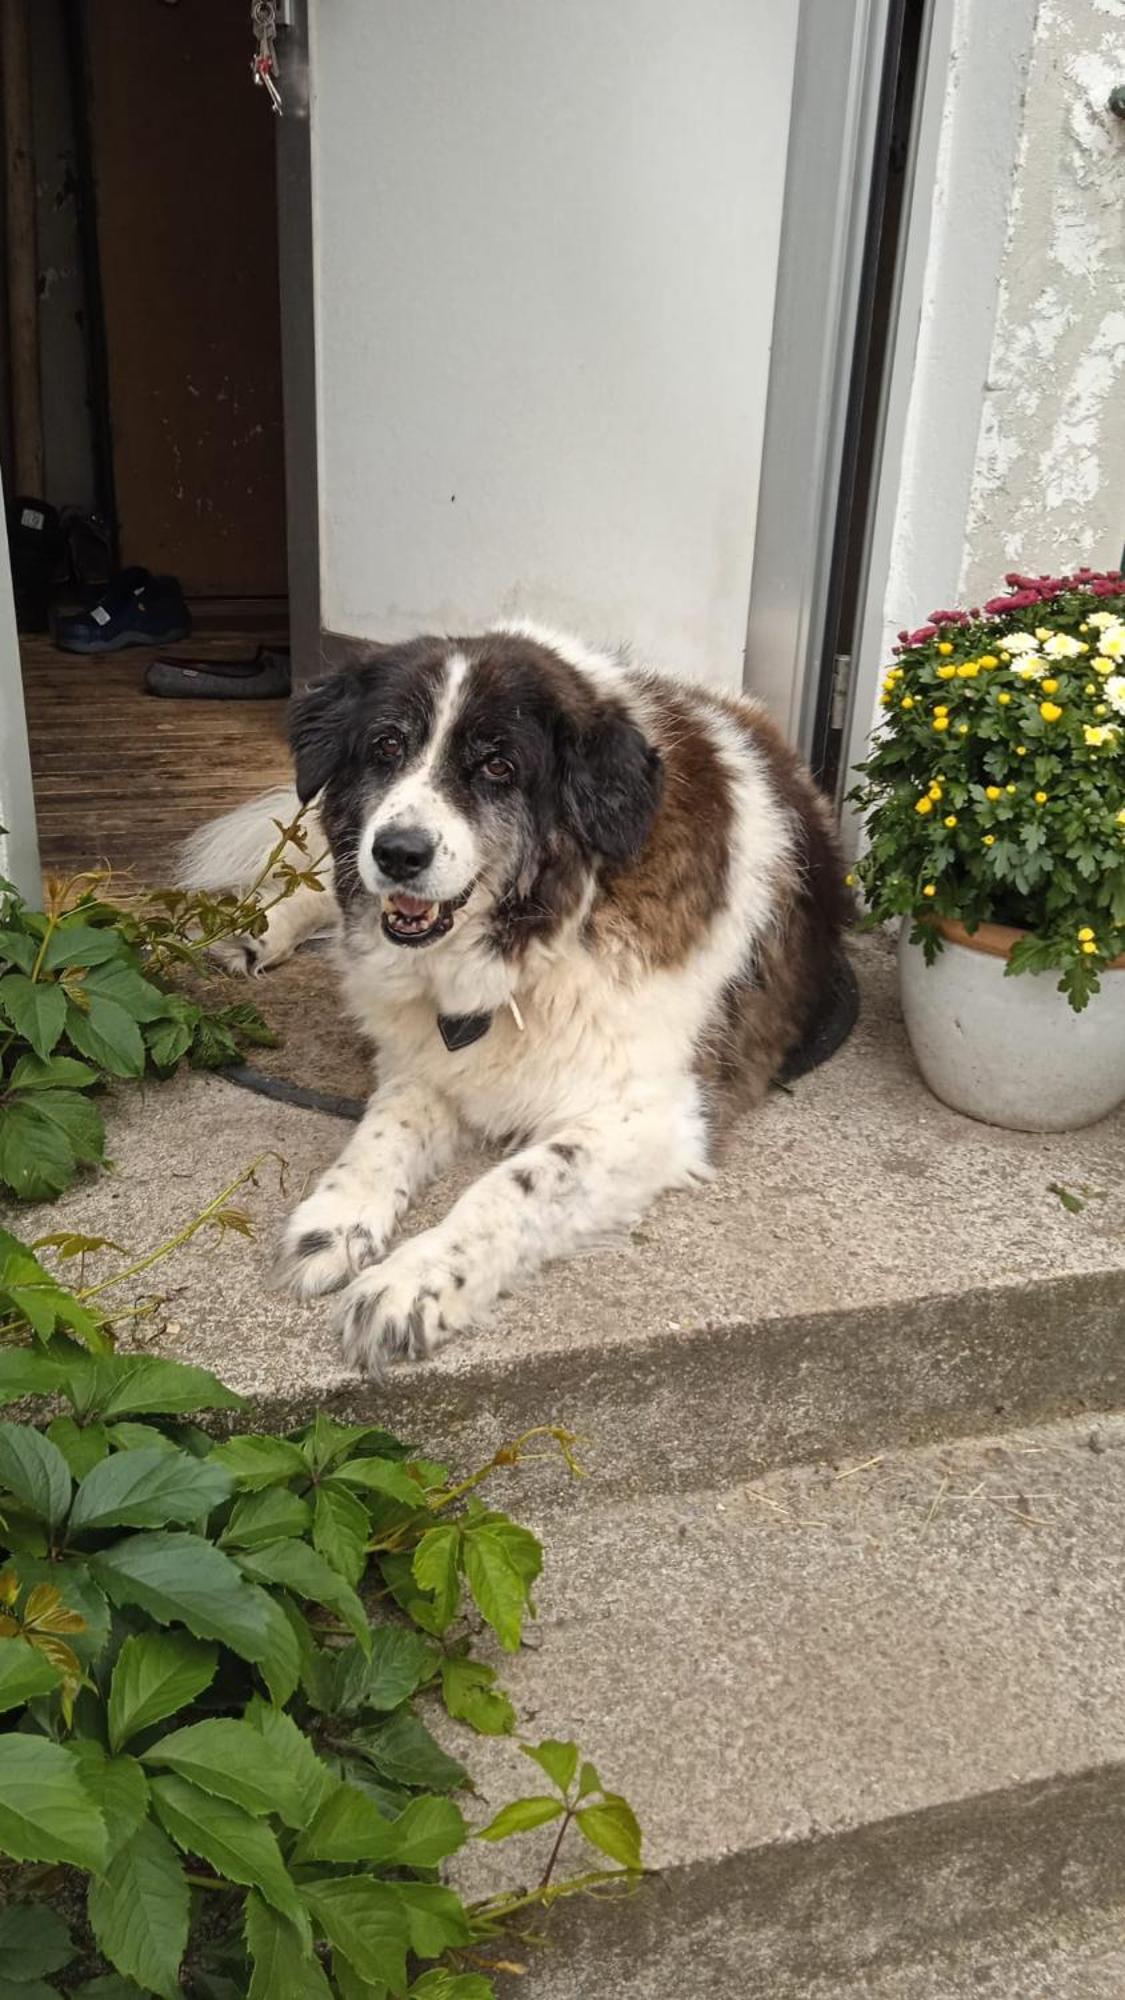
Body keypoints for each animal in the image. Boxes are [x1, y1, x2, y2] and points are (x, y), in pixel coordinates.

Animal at [179, 624, 844, 1376]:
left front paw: (410, 1283)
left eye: (498, 767)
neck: (548, 927)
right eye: (386, 746)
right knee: (315, 884)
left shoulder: (653, 1114)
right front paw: (335, 1221)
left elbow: (512, 1185)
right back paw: (251, 933)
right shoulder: (423, 1061)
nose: (397, 852)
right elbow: (380, 1132)